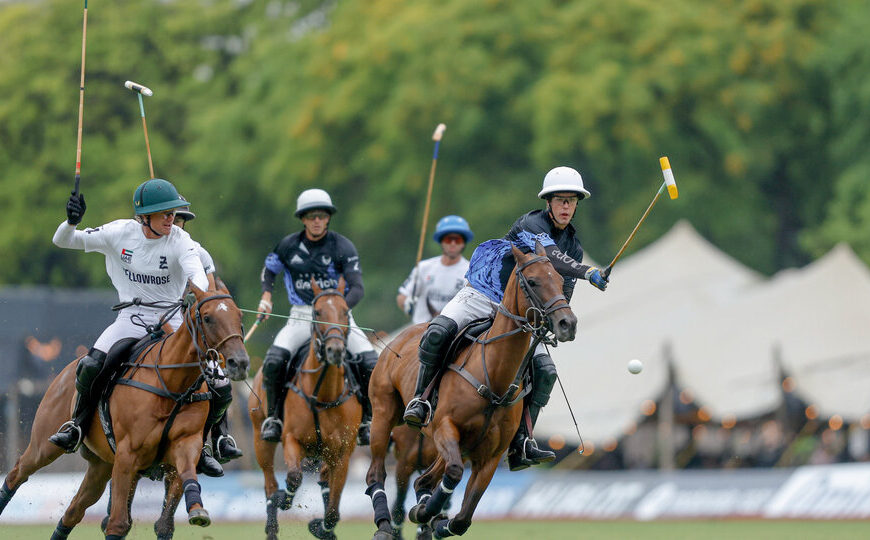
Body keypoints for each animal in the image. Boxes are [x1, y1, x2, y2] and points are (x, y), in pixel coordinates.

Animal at [0, 282, 249, 540]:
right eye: (208, 318)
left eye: (239, 316)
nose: (239, 362)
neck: (172, 385)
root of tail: (68, 368)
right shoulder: (128, 454)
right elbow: (117, 523)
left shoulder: (185, 446)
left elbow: (166, 521)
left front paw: (197, 510)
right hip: (45, 445)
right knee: (17, 474)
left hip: (101, 467)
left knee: (72, 512)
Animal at [250, 278, 362, 540]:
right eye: (317, 312)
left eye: (346, 312)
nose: (335, 350)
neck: (323, 394)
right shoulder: (292, 438)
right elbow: (293, 477)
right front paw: (283, 499)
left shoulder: (343, 453)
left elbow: (333, 508)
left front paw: (322, 528)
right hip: (260, 438)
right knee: (269, 483)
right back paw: (272, 524)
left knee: (324, 481)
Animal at [364, 245, 576, 540]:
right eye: (533, 281)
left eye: (558, 279)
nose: (568, 323)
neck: (494, 379)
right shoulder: (444, 428)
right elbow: (452, 475)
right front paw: (424, 513)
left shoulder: (490, 456)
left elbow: (463, 518)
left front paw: (435, 521)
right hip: (384, 414)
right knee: (376, 473)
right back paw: (385, 526)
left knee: (425, 480)